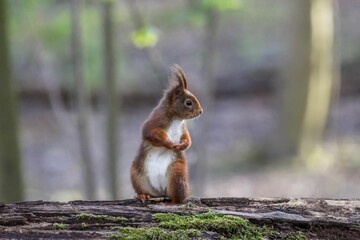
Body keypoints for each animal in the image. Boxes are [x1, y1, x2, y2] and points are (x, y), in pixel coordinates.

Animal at [129, 64, 202, 204]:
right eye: (188, 102)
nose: (201, 111)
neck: (176, 118)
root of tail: (160, 192)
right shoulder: (154, 122)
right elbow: (152, 134)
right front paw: (168, 143)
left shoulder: (183, 128)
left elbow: (186, 137)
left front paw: (184, 144)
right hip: (136, 174)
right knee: (148, 192)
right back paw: (142, 195)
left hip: (176, 172)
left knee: (177, 198)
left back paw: (171, 202)